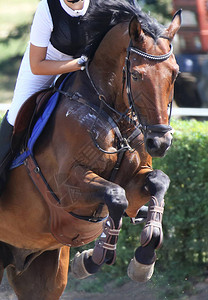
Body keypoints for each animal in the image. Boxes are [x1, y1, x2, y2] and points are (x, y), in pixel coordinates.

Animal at [0, 1, 180, 298]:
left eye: (175, 73)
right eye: (136, 75)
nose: (160, 143)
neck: (112, 116)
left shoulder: (136, 180)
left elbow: (157, 182)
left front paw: (145, 256)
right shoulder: (67, 188)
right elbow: (116, 197)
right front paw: (92, 258)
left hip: (39, 270)